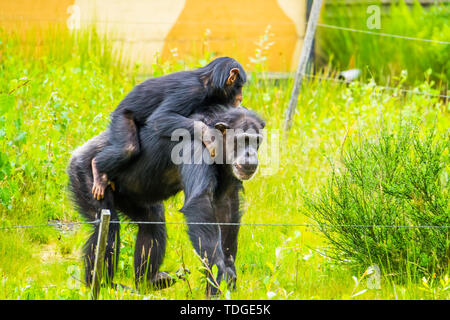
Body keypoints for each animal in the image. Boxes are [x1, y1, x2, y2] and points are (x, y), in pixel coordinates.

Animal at [69, 106, 266, 296]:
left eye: (255, 141)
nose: (250, 153)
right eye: (243, 139)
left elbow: (227, 204)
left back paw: (148, 282)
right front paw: (217, 273)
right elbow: (200, 201)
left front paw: (229, 269)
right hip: (85, 176)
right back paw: (102, 285)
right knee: (108, 229)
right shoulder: (195, 148)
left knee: (152, 223)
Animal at [91, 55, 246, 200]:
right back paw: (98, 170)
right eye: (240, 86)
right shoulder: (190, 91)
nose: (241, 96)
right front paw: (210, 136)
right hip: (121, 117)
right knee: (127, 149)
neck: (209, 83)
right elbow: (161, 117)